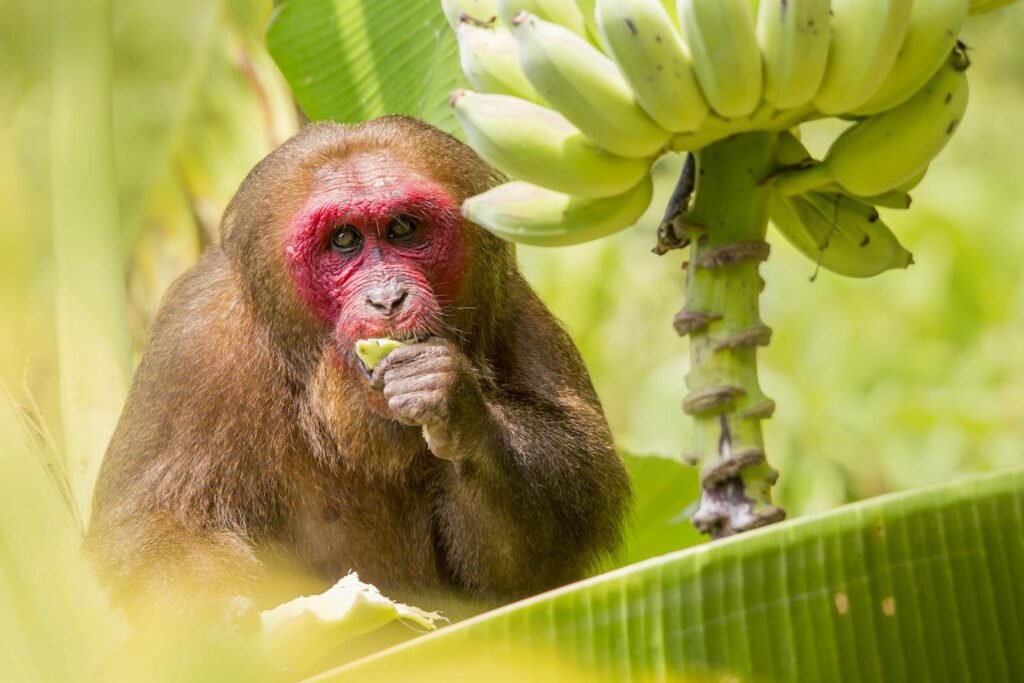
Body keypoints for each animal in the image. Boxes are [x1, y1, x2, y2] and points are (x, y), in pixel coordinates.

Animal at [86, 114, 630, 626]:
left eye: (403, 229)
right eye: (344, 239)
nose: (388, 298)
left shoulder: (513, 307)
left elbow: (539, 547)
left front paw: (454, 403)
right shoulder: (195, 340)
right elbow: (158, 522)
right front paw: (215, 625)